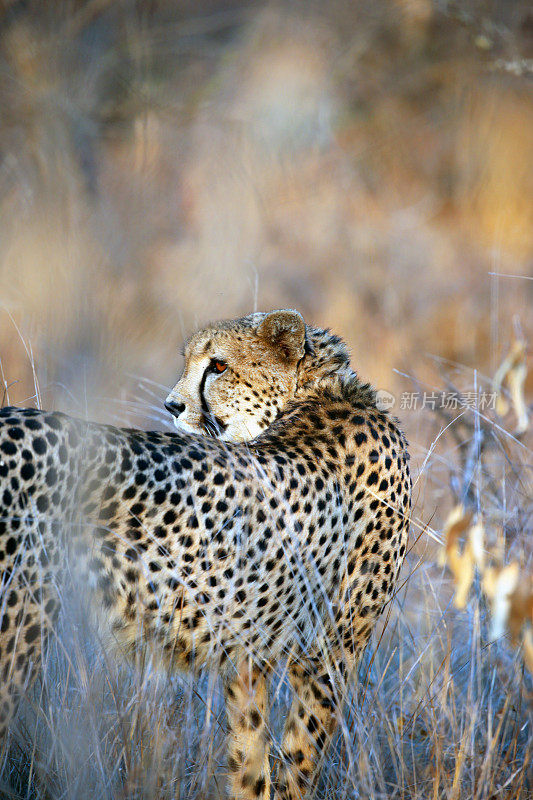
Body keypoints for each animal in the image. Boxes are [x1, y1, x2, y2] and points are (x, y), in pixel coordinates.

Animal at [0, 310, 412, 800]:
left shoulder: (258, 654)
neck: (314, 395)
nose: (171, 406)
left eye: (218, 366)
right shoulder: (330, 655)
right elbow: (299, 761)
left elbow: (251, 755)